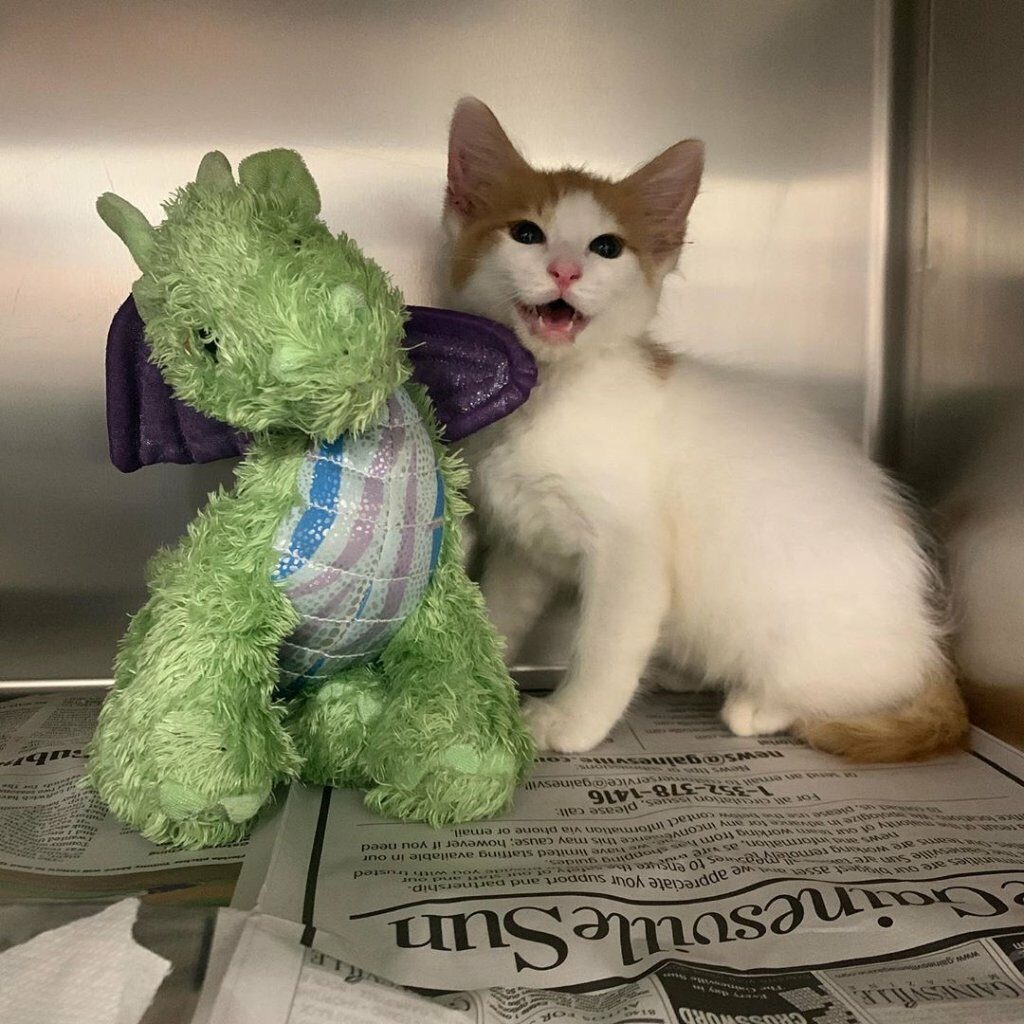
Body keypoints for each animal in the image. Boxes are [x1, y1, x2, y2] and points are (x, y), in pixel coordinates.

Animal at [442, 97, 966, 761]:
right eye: (527, 233)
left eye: (606, 247)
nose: (563, 271)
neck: (550, 395)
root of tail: (928, 638)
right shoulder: (526, 546)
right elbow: (503, 608)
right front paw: (473, 675)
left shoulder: (631, 554)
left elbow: (606, 645)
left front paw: (570, 720)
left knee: (855, 688)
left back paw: (757, 705)